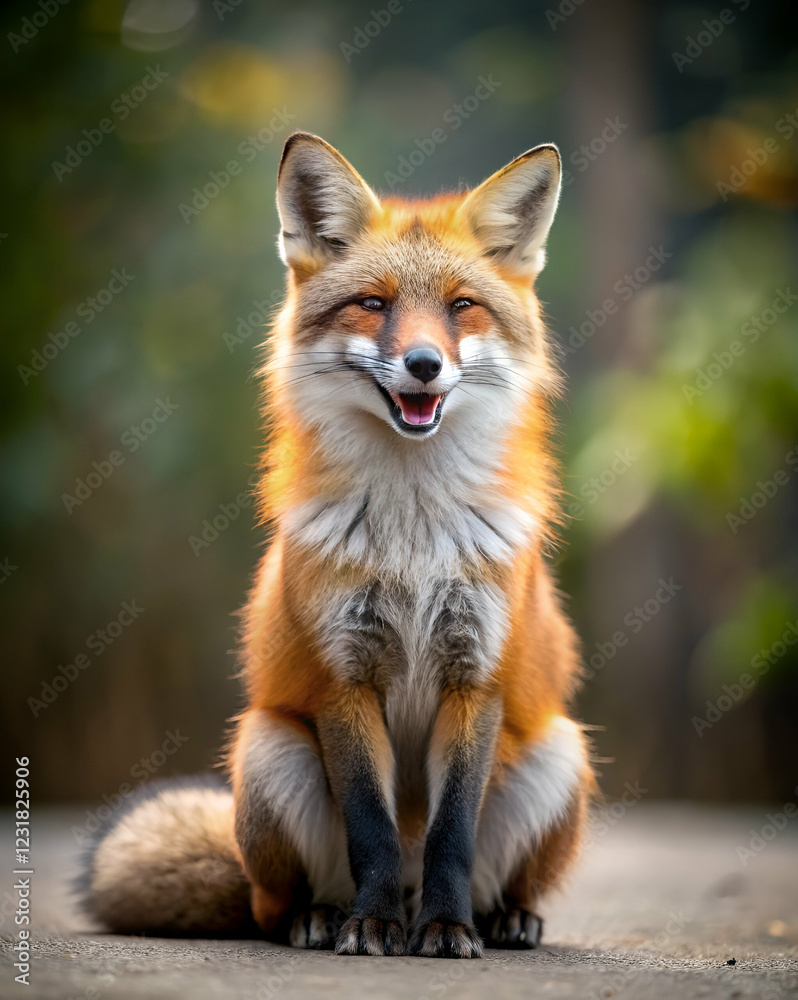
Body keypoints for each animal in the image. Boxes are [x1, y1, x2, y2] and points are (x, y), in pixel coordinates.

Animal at [80, 132, 595, 958]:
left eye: (461, 306)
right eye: (374, 304)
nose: (424, 365)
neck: (414, 537)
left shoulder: (474, 676)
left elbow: (451, 834)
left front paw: (447, 929)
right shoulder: (342, 677)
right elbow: (371, 829)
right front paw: (373, 925)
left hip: (559, 749)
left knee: (489, 875)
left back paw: (492, 918)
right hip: (268, 747)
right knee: (273, 906)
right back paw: (327, 917)